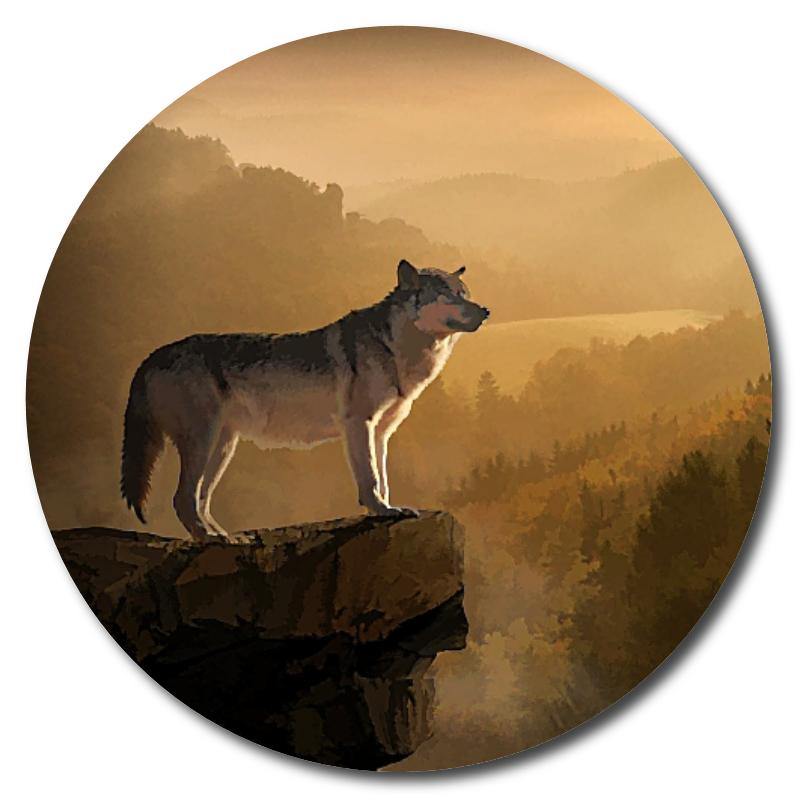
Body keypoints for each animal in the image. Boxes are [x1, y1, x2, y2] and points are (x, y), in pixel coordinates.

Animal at [120, 259, 489, 539]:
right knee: (182, 499)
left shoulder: (382, 432)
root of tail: (151, 355)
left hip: (223, 448)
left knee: (199, 500)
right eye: (449, 296)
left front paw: (388, 508)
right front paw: (382, 511)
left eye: (465, 294)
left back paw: (227, 537)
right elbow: (370, 478)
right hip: (204, 442)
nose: (485, 310)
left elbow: (383, 478)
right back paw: (213, 541)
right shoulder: (359, 424)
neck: (396, 348)